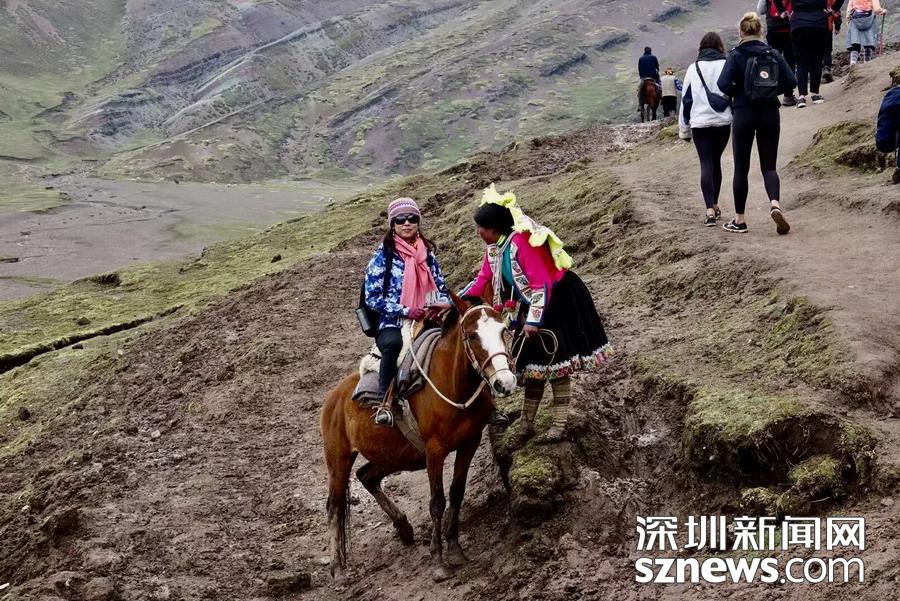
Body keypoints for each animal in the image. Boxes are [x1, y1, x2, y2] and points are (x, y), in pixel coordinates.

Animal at [320, 293, 517, 582]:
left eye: (503, 330)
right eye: (472, 335)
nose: (505, 382)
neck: (452, 385)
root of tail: (334, 398)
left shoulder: (469, 443)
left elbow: (456, 493)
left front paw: (455, 548)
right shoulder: (434, 451)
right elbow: (437, 502)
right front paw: (438, 562)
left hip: (393, 457)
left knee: (367, 476)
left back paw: (404, 528)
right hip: (339, 460)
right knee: (334, 506)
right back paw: (337, 569)